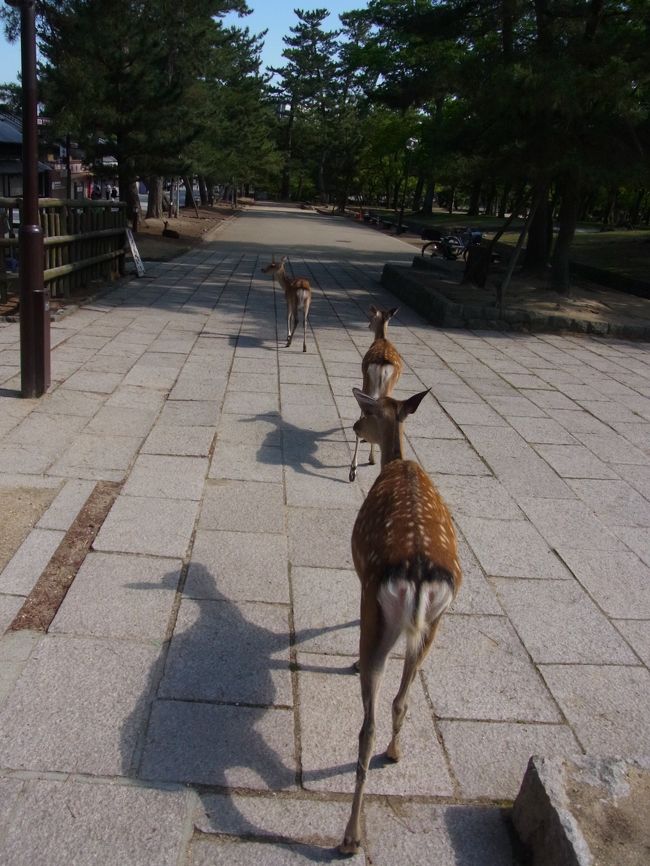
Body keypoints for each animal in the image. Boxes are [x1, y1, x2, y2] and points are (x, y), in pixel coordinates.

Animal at [339, 386, 462, 856]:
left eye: (365, 413)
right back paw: (395, 753)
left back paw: (350, 837)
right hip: (434, 624)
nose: (355, 426)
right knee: (402, 699)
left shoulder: (360, 578)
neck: (399, 461)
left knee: (366, 727)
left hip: (380, 612)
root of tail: (419, 573)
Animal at [349, 306, 402, 482]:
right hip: (375, 385)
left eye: (371, 318)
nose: (367, 325)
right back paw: (359, 466)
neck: (382, 338)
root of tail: (382, 365)